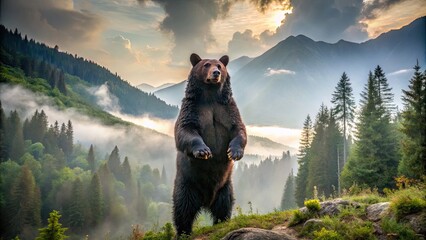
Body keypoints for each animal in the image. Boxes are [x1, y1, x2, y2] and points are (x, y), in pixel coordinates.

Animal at [172, 53, 246, 235]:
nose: (215, 73)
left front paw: (234, 152)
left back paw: (222, 221)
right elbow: (186, 130)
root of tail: (206, 201)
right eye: (206, 64)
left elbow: (238, 129)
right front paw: (203, 151)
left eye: (219, 65)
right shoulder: (193, 109)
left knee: (225, 205)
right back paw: (184, 231)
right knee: (183, 209)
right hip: (187, 184)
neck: (210, 96)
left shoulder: (227, 109)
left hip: (225, 187)